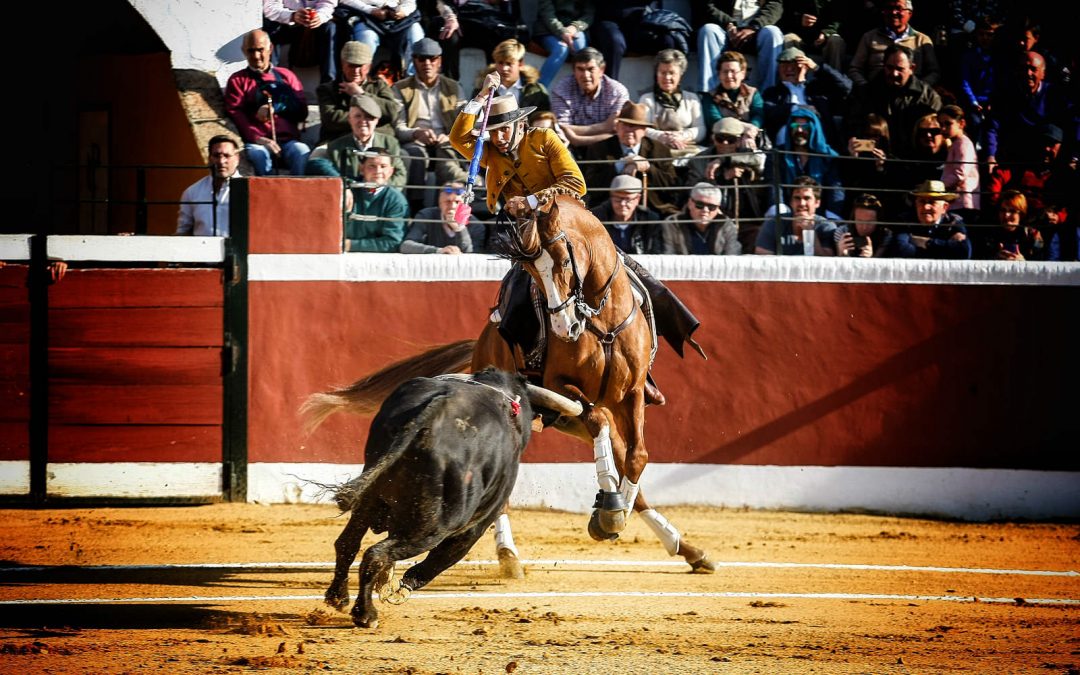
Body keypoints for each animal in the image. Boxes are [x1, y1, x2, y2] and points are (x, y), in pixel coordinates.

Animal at [302, 194, 717, 574]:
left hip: (571, 418)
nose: (565, 327)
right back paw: (509, 554)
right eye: (531, 273)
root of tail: (481, 344)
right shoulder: (563, 389)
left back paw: (683, 547)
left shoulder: (631, 394)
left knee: (624, 463)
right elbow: (600, 422)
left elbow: (638, 456)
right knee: (509, 490)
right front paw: (609, 511)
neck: (603, 321)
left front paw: (614, 512)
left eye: (564, 260)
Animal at [324, 369, 535, 626]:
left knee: (347, 543)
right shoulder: (473, 528)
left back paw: (338, 597)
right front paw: (397, 590)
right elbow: (436, 562)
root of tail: (433, 412)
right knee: (376, 554)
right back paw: (366, 614)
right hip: (437, 525)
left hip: (370, 496)